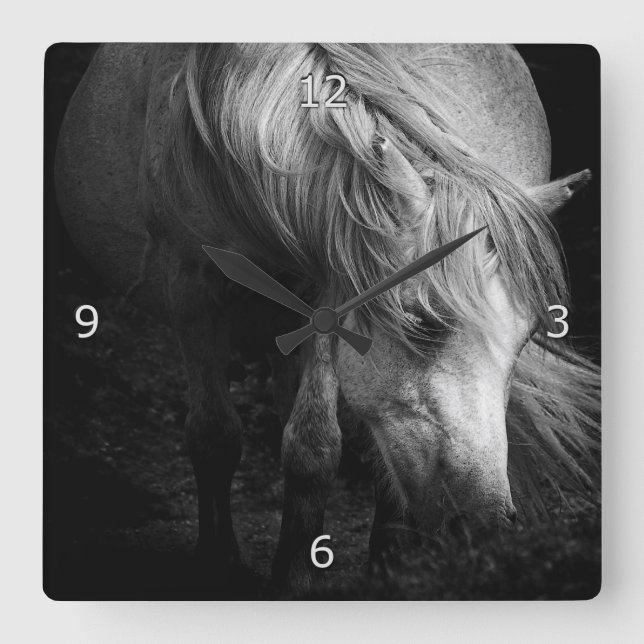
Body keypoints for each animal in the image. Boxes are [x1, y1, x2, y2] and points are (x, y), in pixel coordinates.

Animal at [54, 43, 600, 593]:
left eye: (526, 339)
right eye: (422, 322)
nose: (485, 523)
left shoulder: (329, 293)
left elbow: (313, 446)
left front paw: (295, 579)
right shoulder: (190, 283)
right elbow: (213, 434)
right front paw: (218, 565)